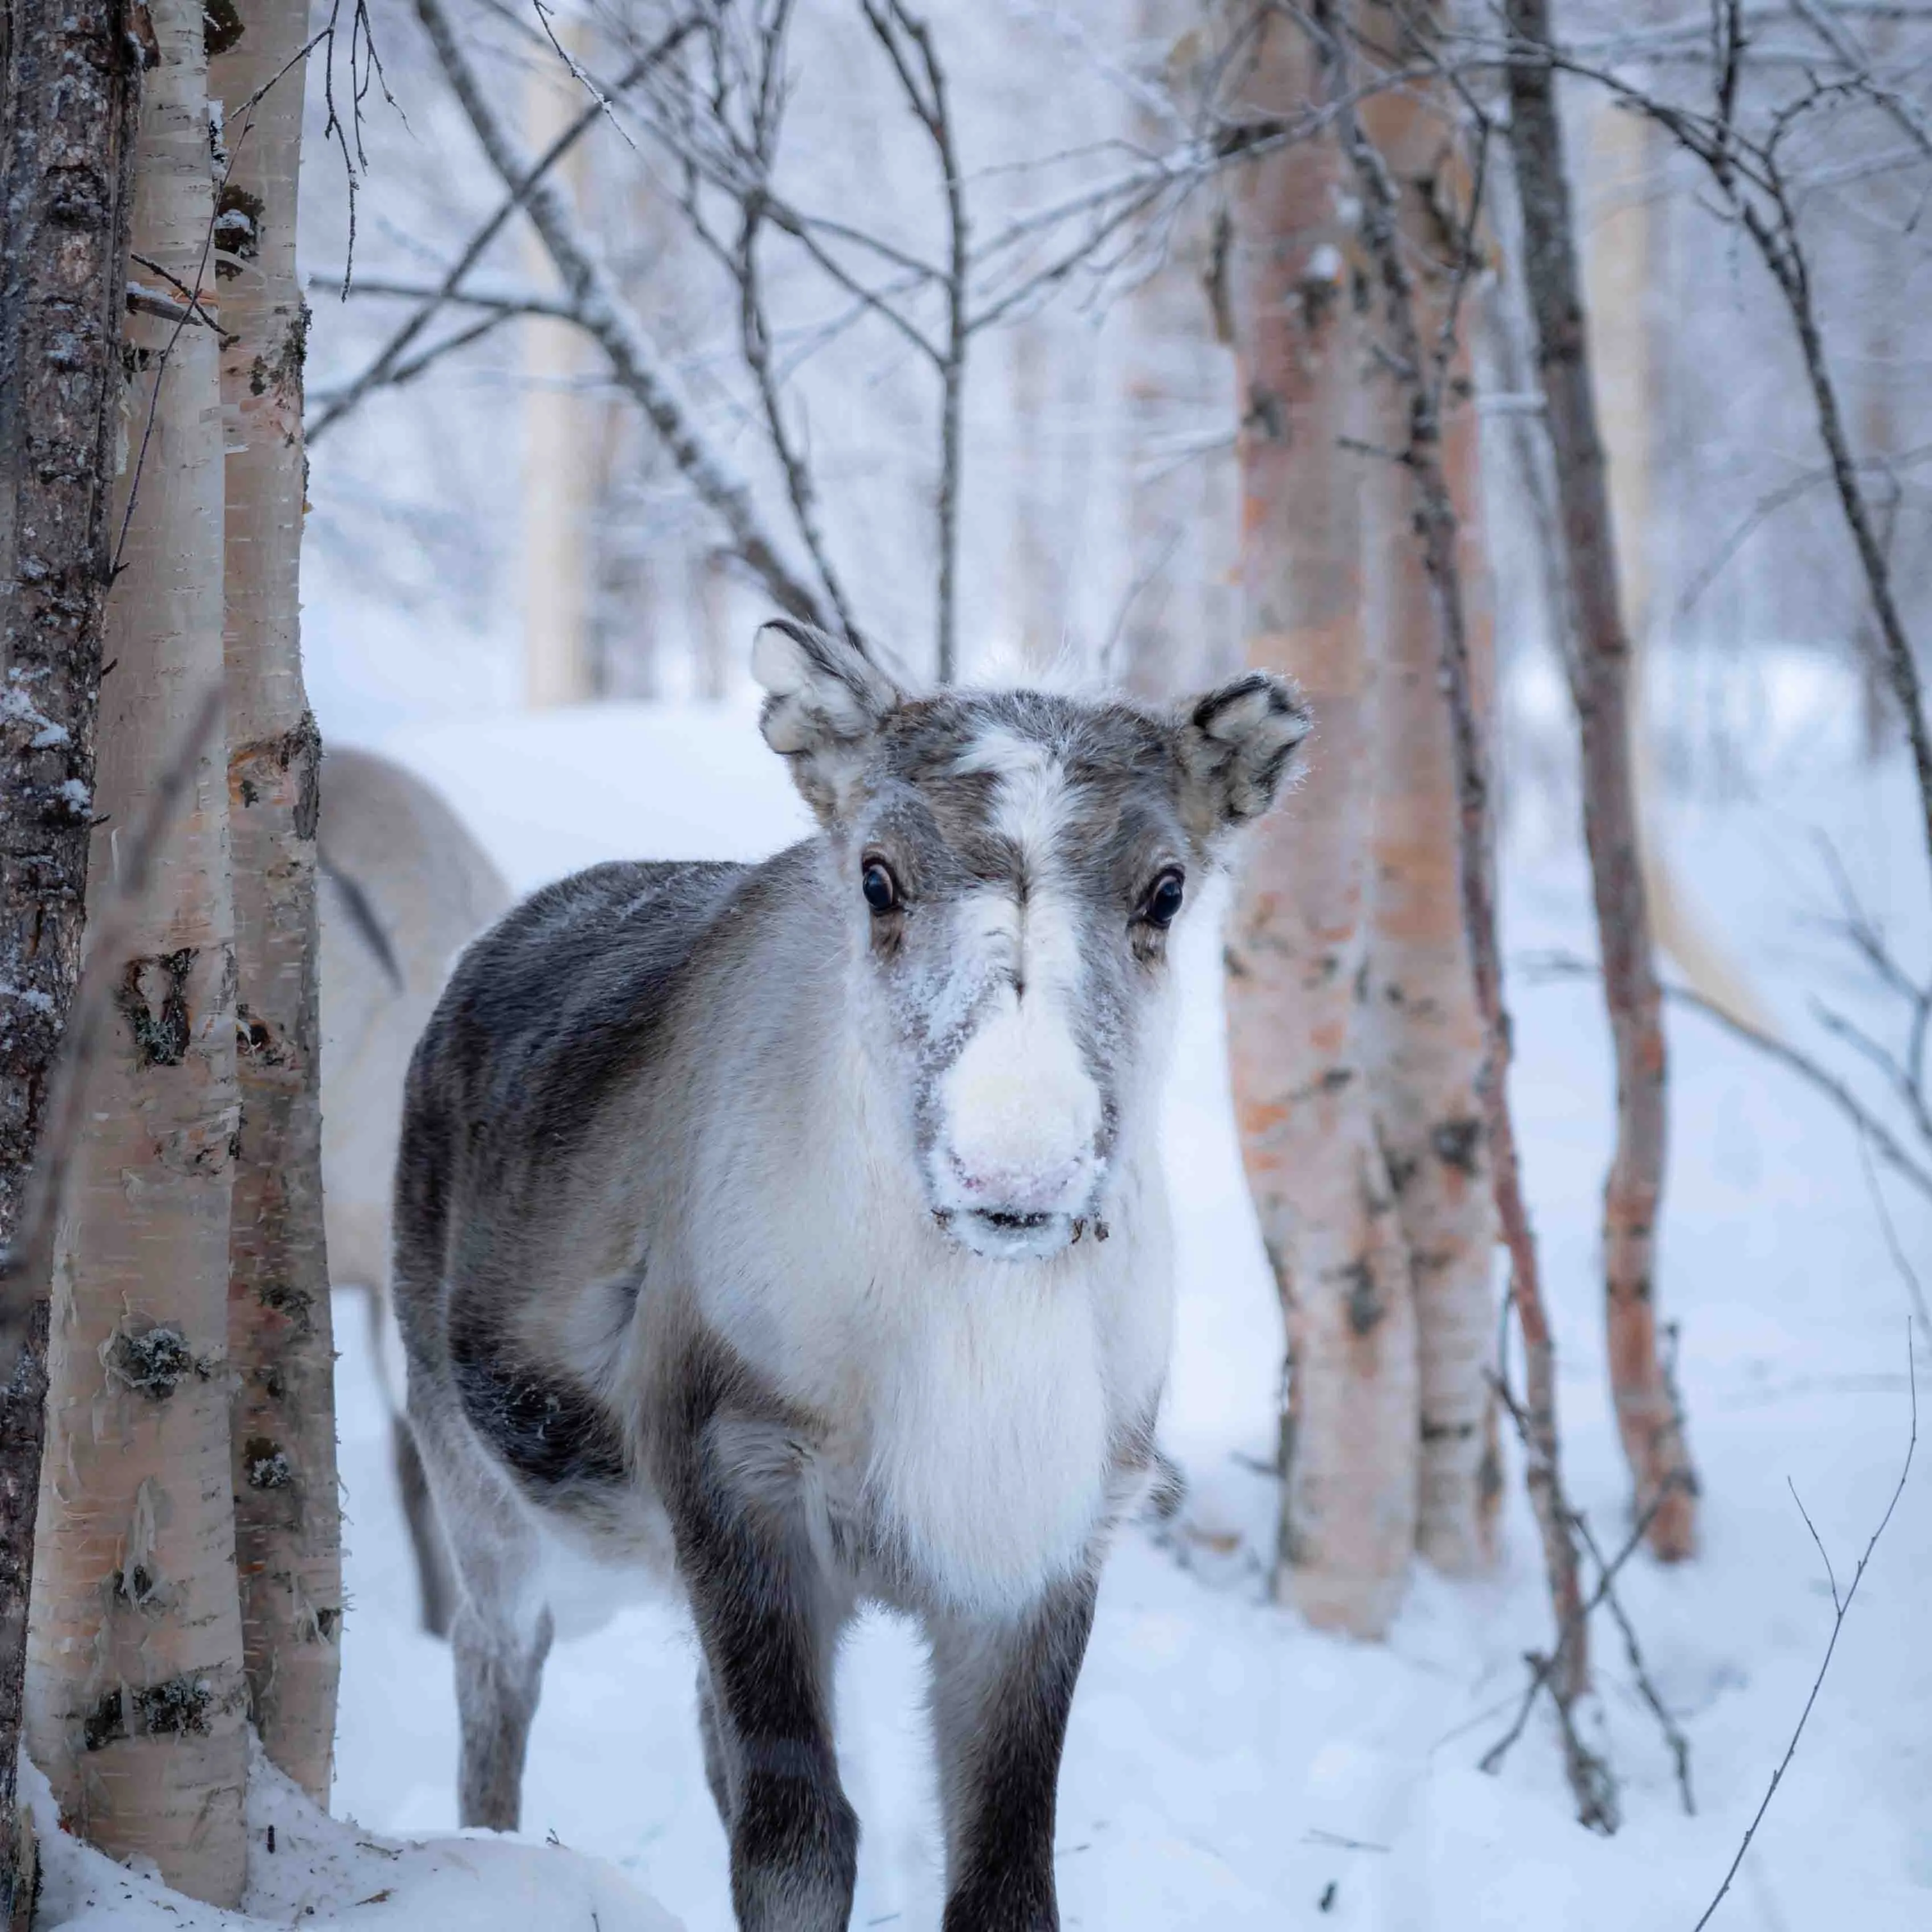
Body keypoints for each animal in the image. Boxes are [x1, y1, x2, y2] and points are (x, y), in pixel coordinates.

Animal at [392, 621, 1309, 1931]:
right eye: (876, 876)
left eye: (1166, 888)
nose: (1012, 1165)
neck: (972, 1317)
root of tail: (479, 959)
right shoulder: (735, 1474)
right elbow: (794, 1841)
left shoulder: (1041, 1541)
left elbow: (1003, 1878)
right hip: (476, 1471)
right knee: (494, 1660)